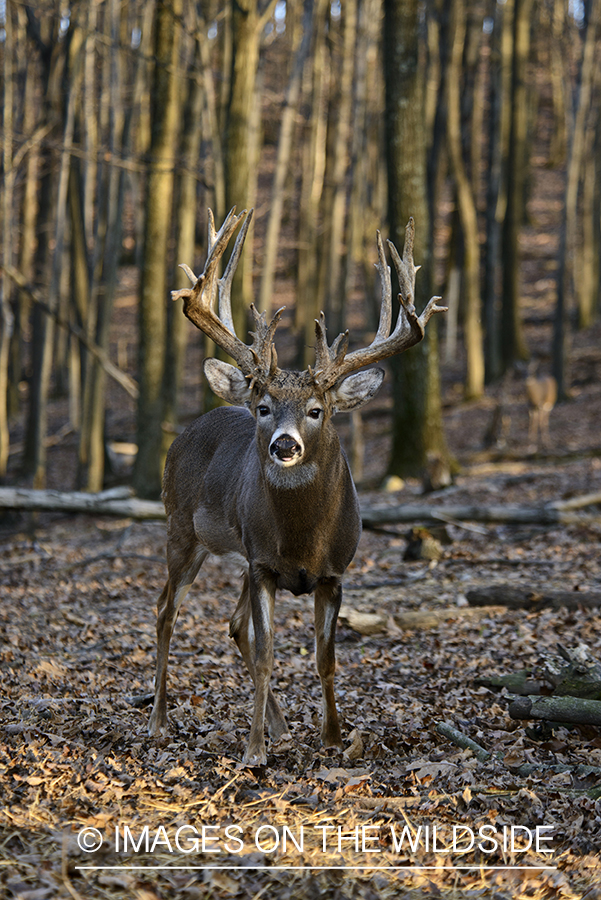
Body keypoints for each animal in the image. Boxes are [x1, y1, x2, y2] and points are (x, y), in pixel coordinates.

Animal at [147, 207, 442, 764]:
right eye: (264, 407)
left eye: (316, 410)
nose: (284, 445)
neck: (303, 538)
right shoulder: (263, 564)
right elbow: (267, 655)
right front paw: (253, 751)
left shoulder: (333, 574)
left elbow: (325, 659)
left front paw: (333, 738)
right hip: (181, 530)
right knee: (165, 612)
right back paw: (158, 720)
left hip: (236, 554)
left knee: (232, 623)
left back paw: (281, 725)